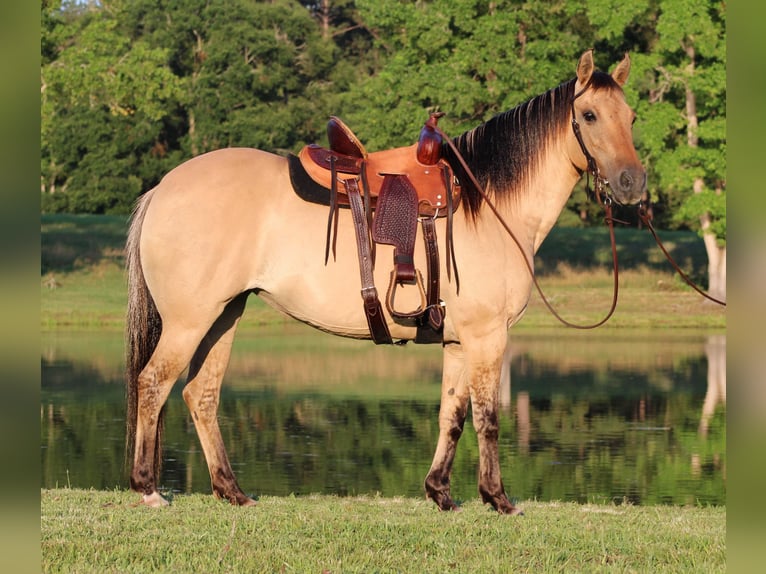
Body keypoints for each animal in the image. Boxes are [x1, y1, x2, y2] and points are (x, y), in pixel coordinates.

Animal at [125, 50, 645, 514]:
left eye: (633, 117)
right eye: (590, 115)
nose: (632, 184)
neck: (489, 204)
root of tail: (162, 188)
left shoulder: (458, 342)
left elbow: (452, 415)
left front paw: (440, 493)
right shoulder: (487, 337)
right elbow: (487, 418)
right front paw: (497, 499)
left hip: (224, 316)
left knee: (200, 395)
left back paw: (231, 491)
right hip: (189, 322)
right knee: (153, 383)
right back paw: (148, 489)